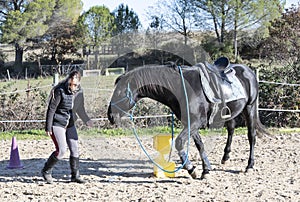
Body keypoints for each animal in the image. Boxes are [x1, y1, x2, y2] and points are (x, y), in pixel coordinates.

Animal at [108, 61, 268, 178]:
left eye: (120, 91)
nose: (110, 115)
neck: (181, 87)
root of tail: (248, 70)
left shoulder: (197, 122)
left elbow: (179, 142)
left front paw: (191, 169)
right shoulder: (191, 123)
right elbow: (200, 145)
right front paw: (206, 169)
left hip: (250, 108)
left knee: (251, 136)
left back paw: (249, 165)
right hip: (231, 112)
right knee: (231, 130)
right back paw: (225, 156)